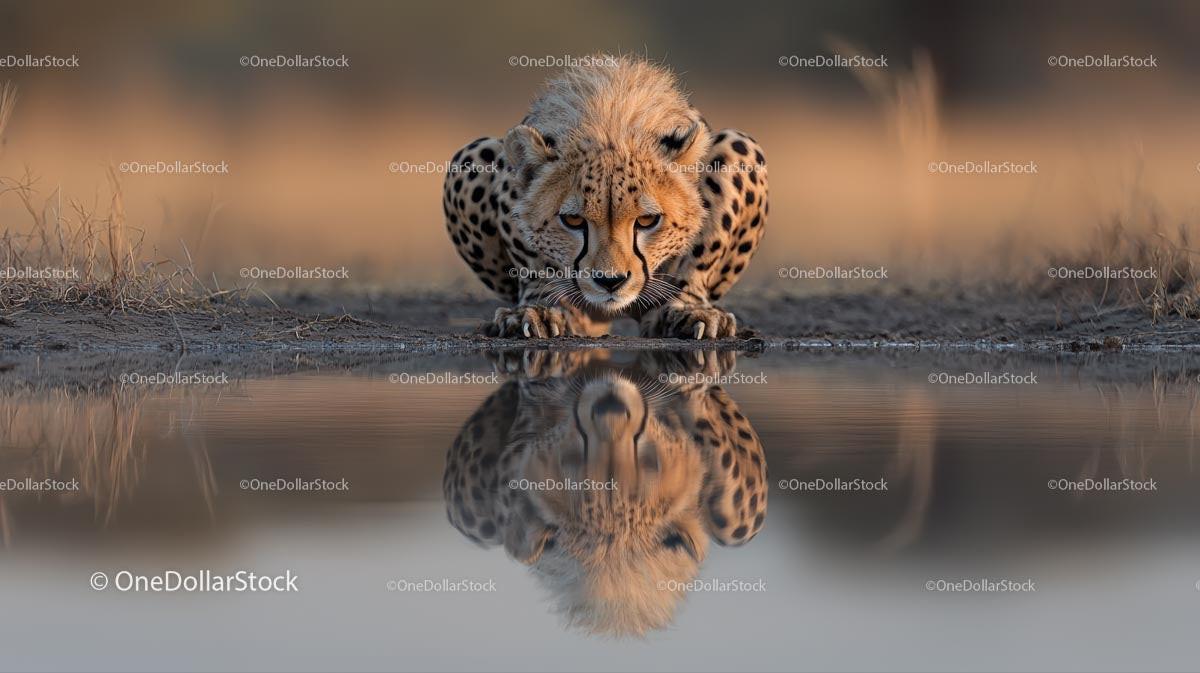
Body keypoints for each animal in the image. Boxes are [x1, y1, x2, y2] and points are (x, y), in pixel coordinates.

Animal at [442, 54, 769, 340]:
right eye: (573, 220)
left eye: (648, 220)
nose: (611, 282)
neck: (610, 121)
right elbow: (530, 256)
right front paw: (540, 308)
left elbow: (702, 251)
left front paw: (689, 308)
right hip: (471, 156)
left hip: (740, 146)